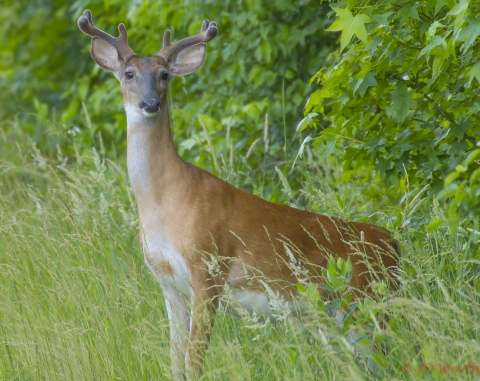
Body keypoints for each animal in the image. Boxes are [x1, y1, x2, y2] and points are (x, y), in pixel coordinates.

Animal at [79, 10, 400, 378]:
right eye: (129, 74)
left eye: (164, 75)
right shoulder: (168, 283)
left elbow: (194, 359)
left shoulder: (208, 266)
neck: (162, 203)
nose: (151, 103)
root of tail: (394, 244)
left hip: (368, 300)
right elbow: (175, 359)